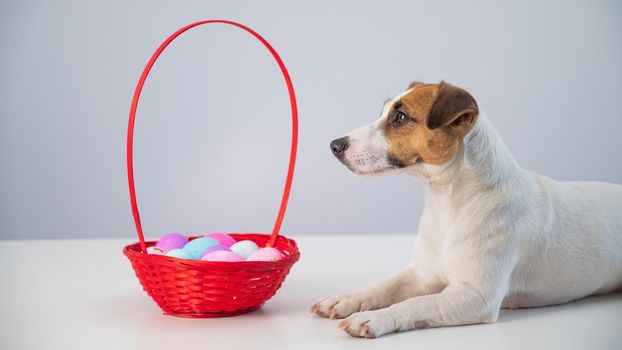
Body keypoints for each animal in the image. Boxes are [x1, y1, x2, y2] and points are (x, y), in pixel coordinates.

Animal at [312, 80, 622, 338]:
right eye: (385, 112)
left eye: (400, 117)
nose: (335, 145)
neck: (448, 205)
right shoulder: (422, 274)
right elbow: (384, 286)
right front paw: (347, 299)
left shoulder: (476, 297)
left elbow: (418, 303)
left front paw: (376, 317)